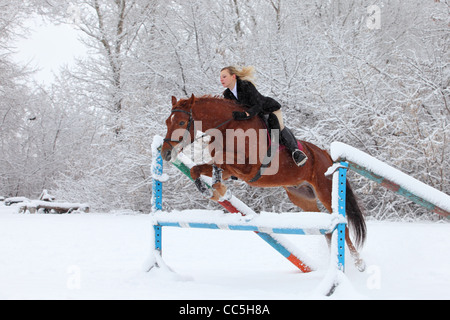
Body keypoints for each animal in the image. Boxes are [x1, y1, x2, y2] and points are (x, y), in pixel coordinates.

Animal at [163, 94, 368, 270]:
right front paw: (213, 190)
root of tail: (326, 154)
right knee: (325, 227)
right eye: (167, 122)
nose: (165, 153)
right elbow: (198, 169)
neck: (228, 128)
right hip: (302, 197)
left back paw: (358, 263)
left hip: (325, 190)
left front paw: (219, 189)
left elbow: (221, 158)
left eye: (181, 122)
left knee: (342, 225)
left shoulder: (250, 168)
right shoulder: (231, 169)